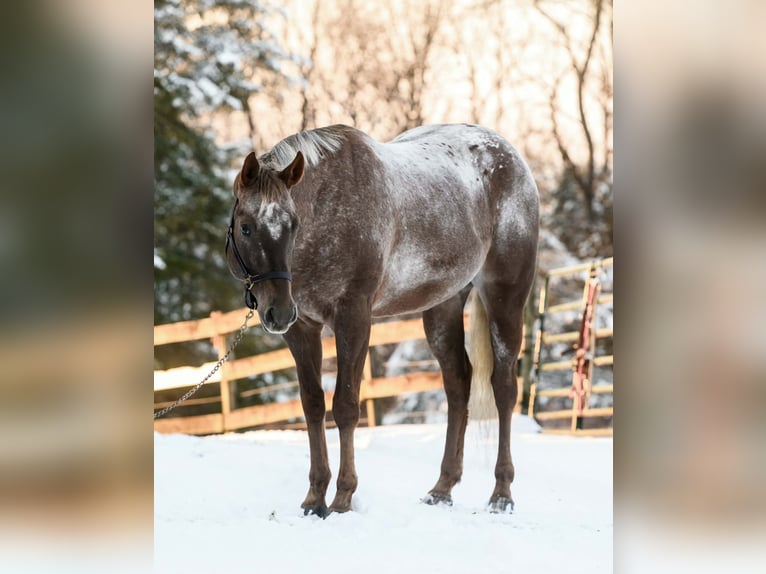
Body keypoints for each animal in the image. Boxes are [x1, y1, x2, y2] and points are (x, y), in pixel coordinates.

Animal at [225, 124, 538, 516]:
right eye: (246, 227)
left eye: (294, 225)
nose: (277, 312)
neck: (330, 209)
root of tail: (511, 156)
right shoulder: (302, 328)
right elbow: (313, 405)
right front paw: (314, 498)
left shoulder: (353, 318)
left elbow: (345, 406)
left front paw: (342, 498)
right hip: (444, 305)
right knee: (458, 384)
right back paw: (442, 488)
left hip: (504, 297)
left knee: (504, 388)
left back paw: (501, 494)